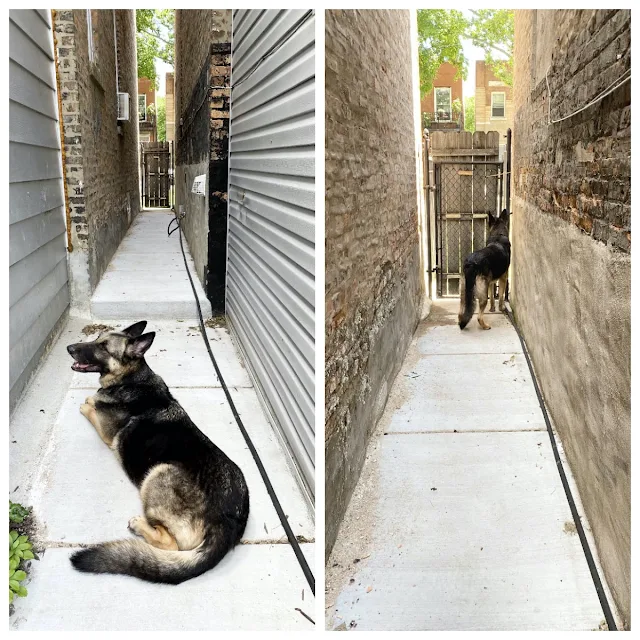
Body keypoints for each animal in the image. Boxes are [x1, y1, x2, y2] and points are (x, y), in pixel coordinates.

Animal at [65, 322, 250, 584]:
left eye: (103, 346)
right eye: (97, 338)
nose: (69, 348)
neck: (132, 380)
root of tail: (228, 521)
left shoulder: (106, 432)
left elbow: (90, 404)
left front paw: (88, 402)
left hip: (158, 474)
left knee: (169, 544)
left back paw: (140, 526)